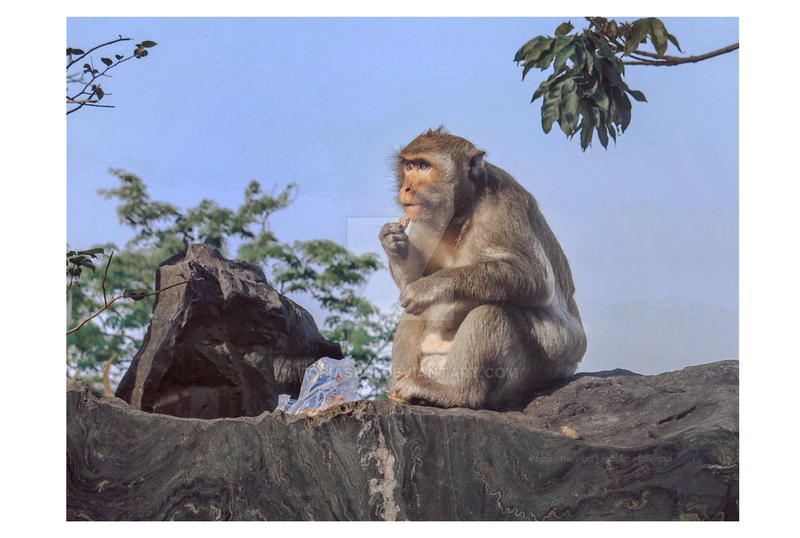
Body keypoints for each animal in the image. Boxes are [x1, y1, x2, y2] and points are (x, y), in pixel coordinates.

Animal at [379, 127, 586, 410]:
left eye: (423, 166)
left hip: (543, 364)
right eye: (408, 166)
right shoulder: (423, 219)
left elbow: (535, 278)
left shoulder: (501, 207)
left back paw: (456, 392)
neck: (461, 212)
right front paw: (394, 244)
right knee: (415, 312)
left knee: (493, 310)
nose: (407, 187)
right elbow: (410, 284)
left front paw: (429, 287)